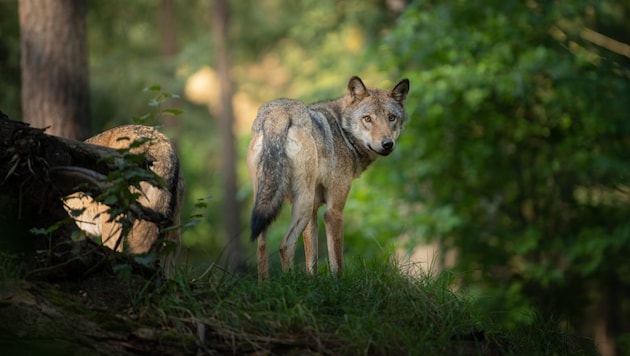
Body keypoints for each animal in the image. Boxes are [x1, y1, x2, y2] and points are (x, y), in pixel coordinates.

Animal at [247, 76, 410, 280]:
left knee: (261, 247)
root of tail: (279, 114)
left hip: (267, 204)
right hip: (303, 203)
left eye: (391, 118)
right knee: (285, 245)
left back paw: (265, 284)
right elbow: (337, 262)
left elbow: (312, 261)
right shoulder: (333, 211)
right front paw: (339, 284)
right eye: (367, 119)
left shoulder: (314, 212)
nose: (387, 144)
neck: (343, 131)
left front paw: (312, 281)